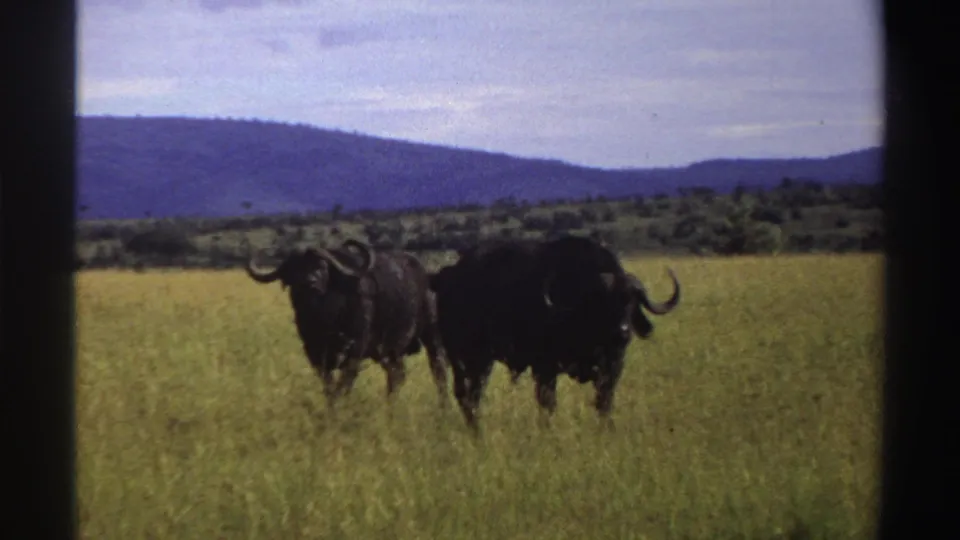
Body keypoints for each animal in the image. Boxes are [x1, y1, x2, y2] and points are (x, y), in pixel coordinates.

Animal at [245, 239, 449, 409]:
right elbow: (329, 386)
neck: (325, 319)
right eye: (295, 269)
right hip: (389, 351)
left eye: (322, 267)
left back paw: (442, 407)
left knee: (438, 371)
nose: (310, 283)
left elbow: (343, 385)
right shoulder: (315, 354)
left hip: (432, 337)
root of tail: (428, 277)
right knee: (397, 375)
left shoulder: (354, 353)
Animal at [428, 235, 680, 433]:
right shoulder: (544, 368)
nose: (623, 333)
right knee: (469, 396)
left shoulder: (612, 368)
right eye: (603, 302)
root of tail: (447, 276)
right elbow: (548, 403)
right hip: (471, 358)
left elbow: (605, 403)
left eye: (632, 302)